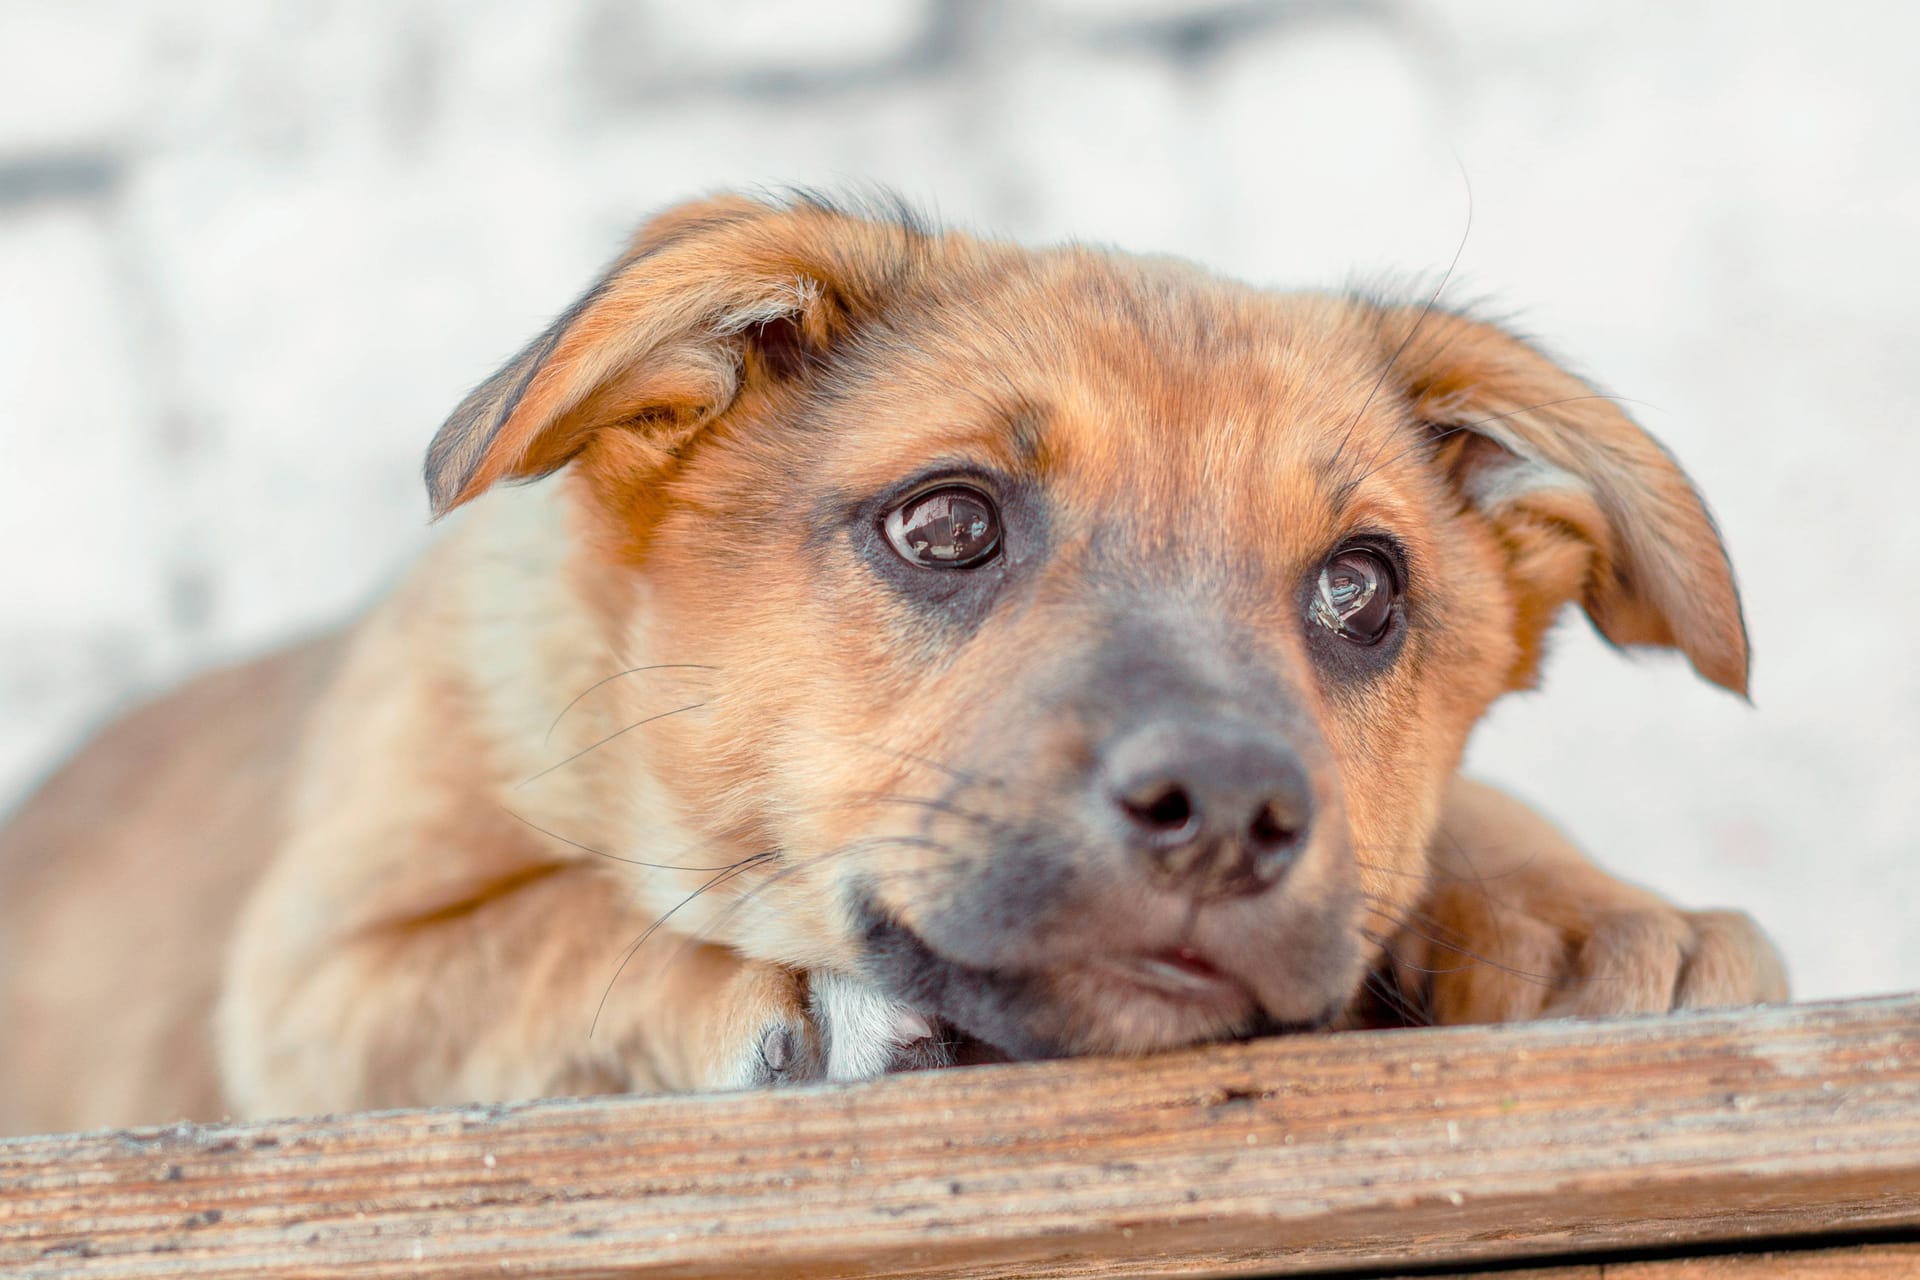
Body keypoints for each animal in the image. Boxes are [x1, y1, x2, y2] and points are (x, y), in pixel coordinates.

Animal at [0, 189, 1781, 1128]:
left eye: (1362, 589)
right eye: (944, 524)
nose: (1223, 813)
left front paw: (1583, 910)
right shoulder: (319, 985)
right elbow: (563, 933)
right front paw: (799, 994)